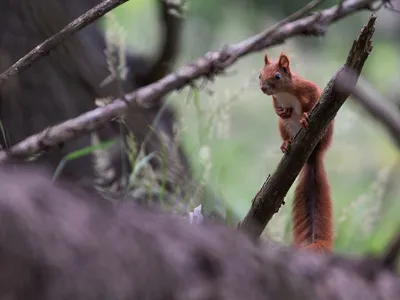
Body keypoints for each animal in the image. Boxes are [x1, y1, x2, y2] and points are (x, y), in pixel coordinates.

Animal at [260, 51, 334, 253]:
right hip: (283, 127)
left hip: (326, 131)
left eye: (277, 76)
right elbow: (276, 109)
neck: (283, 93)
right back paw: (286, 144)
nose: (263, 88)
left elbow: (314, 98)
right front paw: (282, 111)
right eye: (260, 75)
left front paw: (304, 115)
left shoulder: (307, 88)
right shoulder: (275, 101)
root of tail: (312, 154)